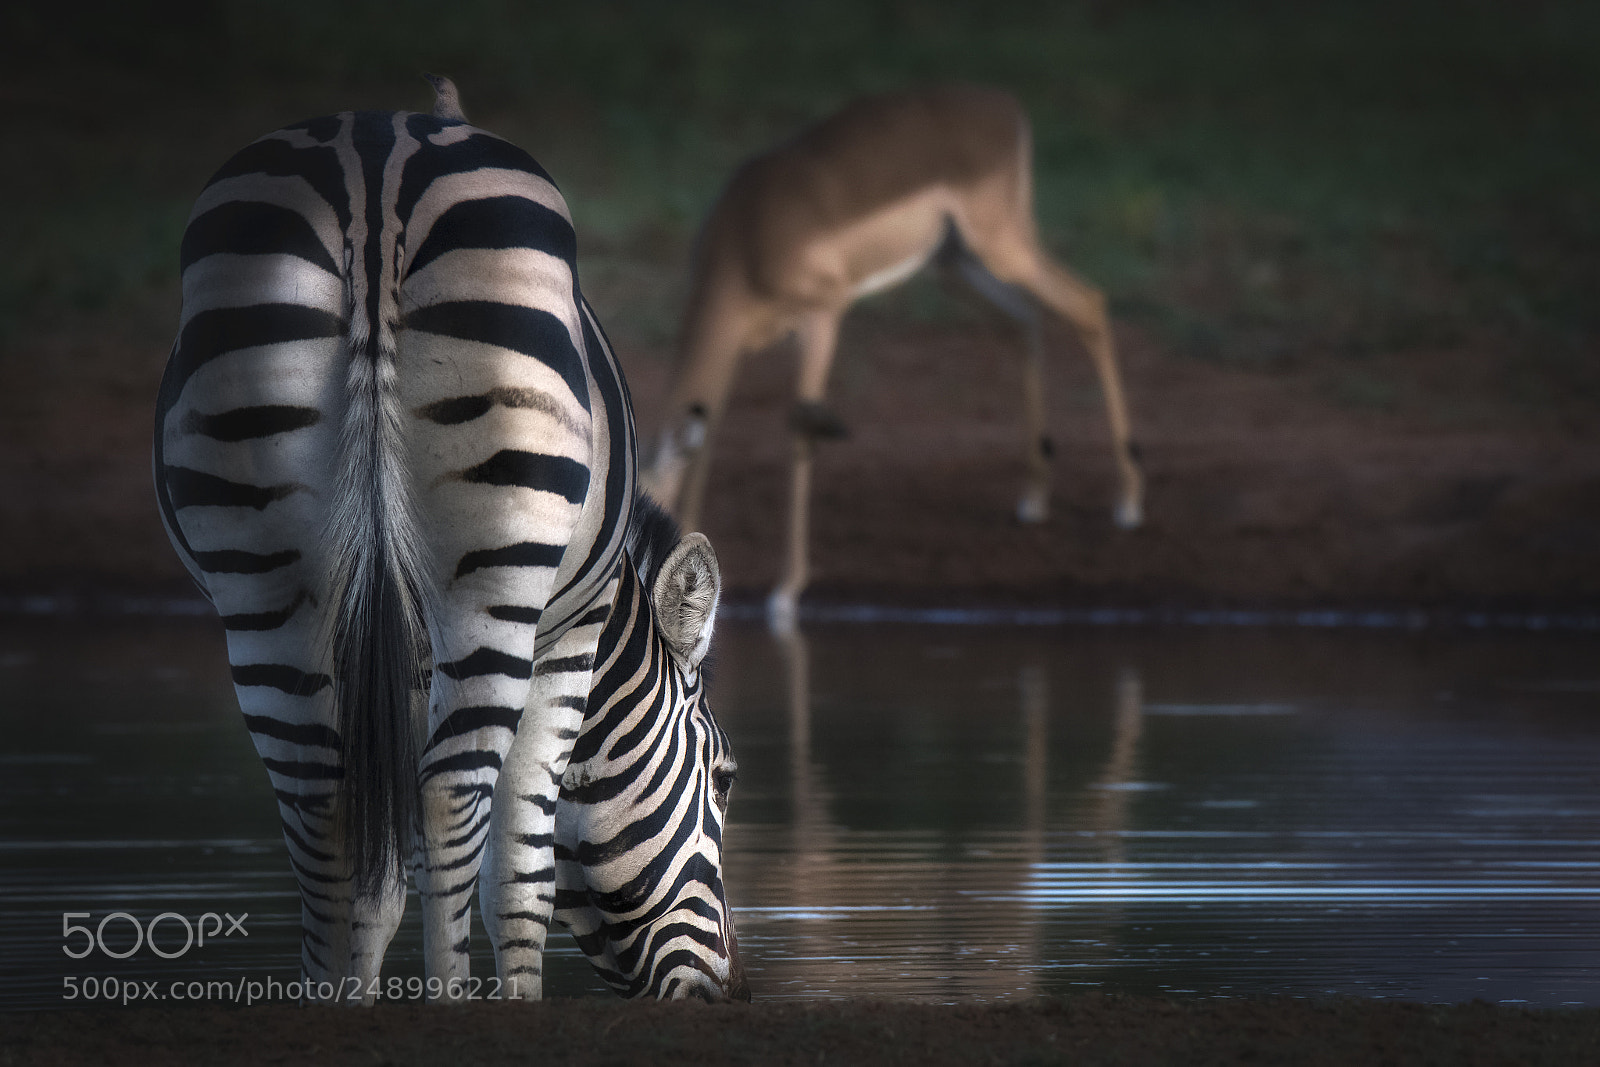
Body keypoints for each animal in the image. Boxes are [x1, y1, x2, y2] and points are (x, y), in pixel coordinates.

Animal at [153, 77, 746, 1002]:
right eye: (723, 778)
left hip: (265, 578)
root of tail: (374, 162)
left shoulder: (394, 655)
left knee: (324, 809)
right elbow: (518, 876)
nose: (729, 988)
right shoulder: (567, 638)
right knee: (447, 798)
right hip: (493, 580)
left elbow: (387, 876)